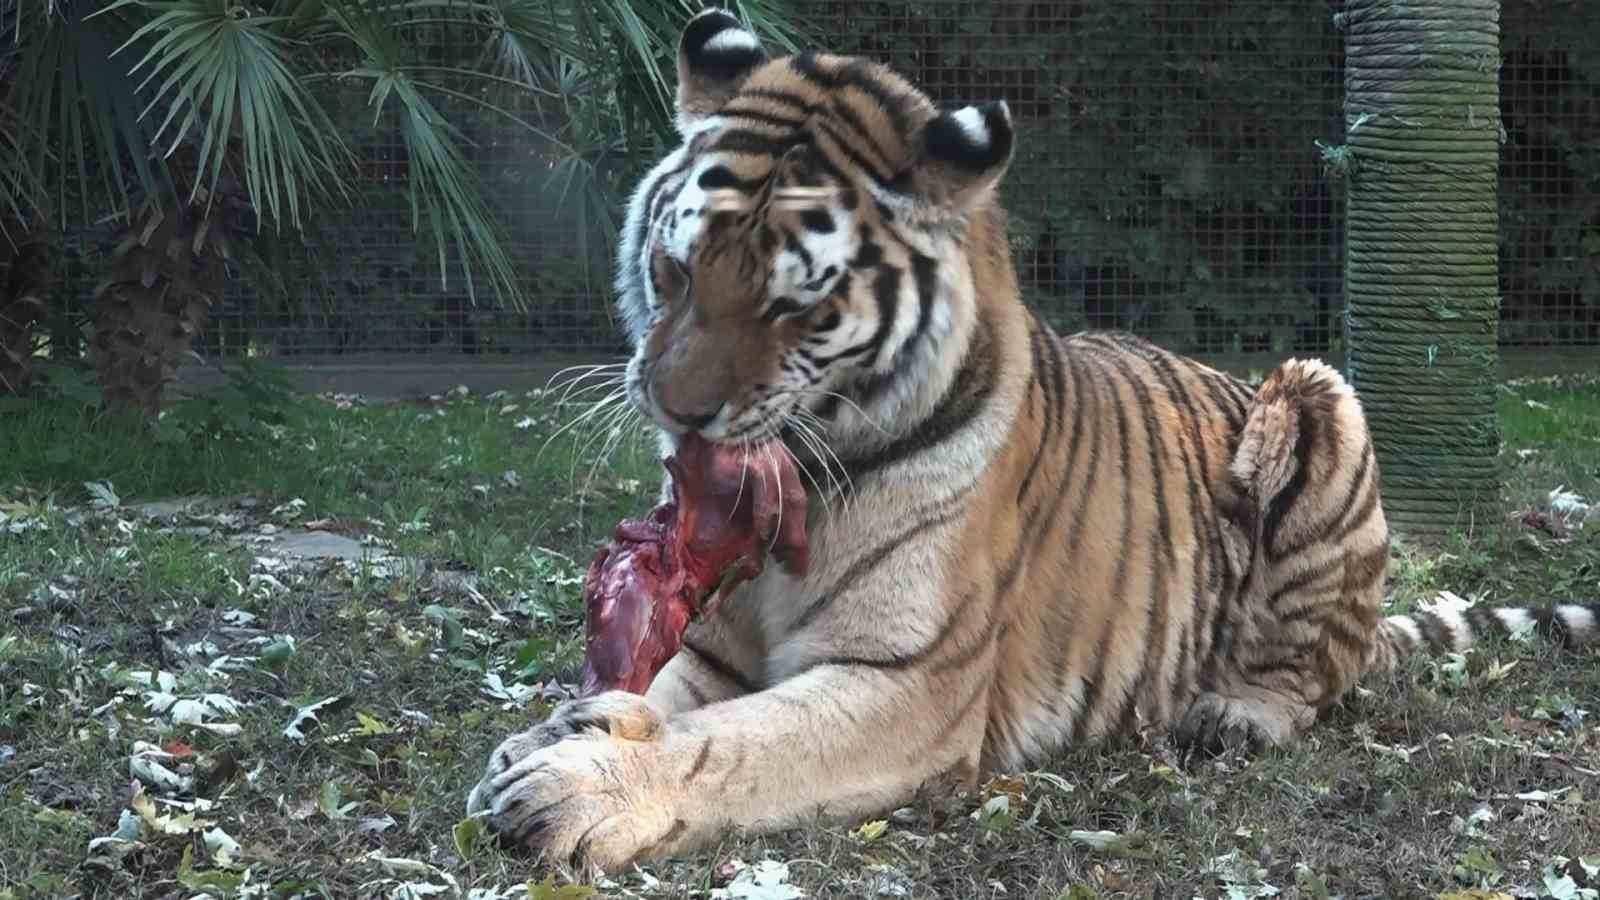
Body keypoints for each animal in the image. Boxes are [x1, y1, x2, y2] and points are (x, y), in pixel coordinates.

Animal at [464, 8, 1587, 871]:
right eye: (676, 270)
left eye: (798, 307)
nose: (675, 410)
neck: (813, 477)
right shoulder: (713, 645)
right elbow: (664, 694)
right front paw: (549, 733)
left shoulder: (906, 685)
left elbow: (733, 747)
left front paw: (579, 785)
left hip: (1319, 398)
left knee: (1319, 676)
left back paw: (1235, 713)